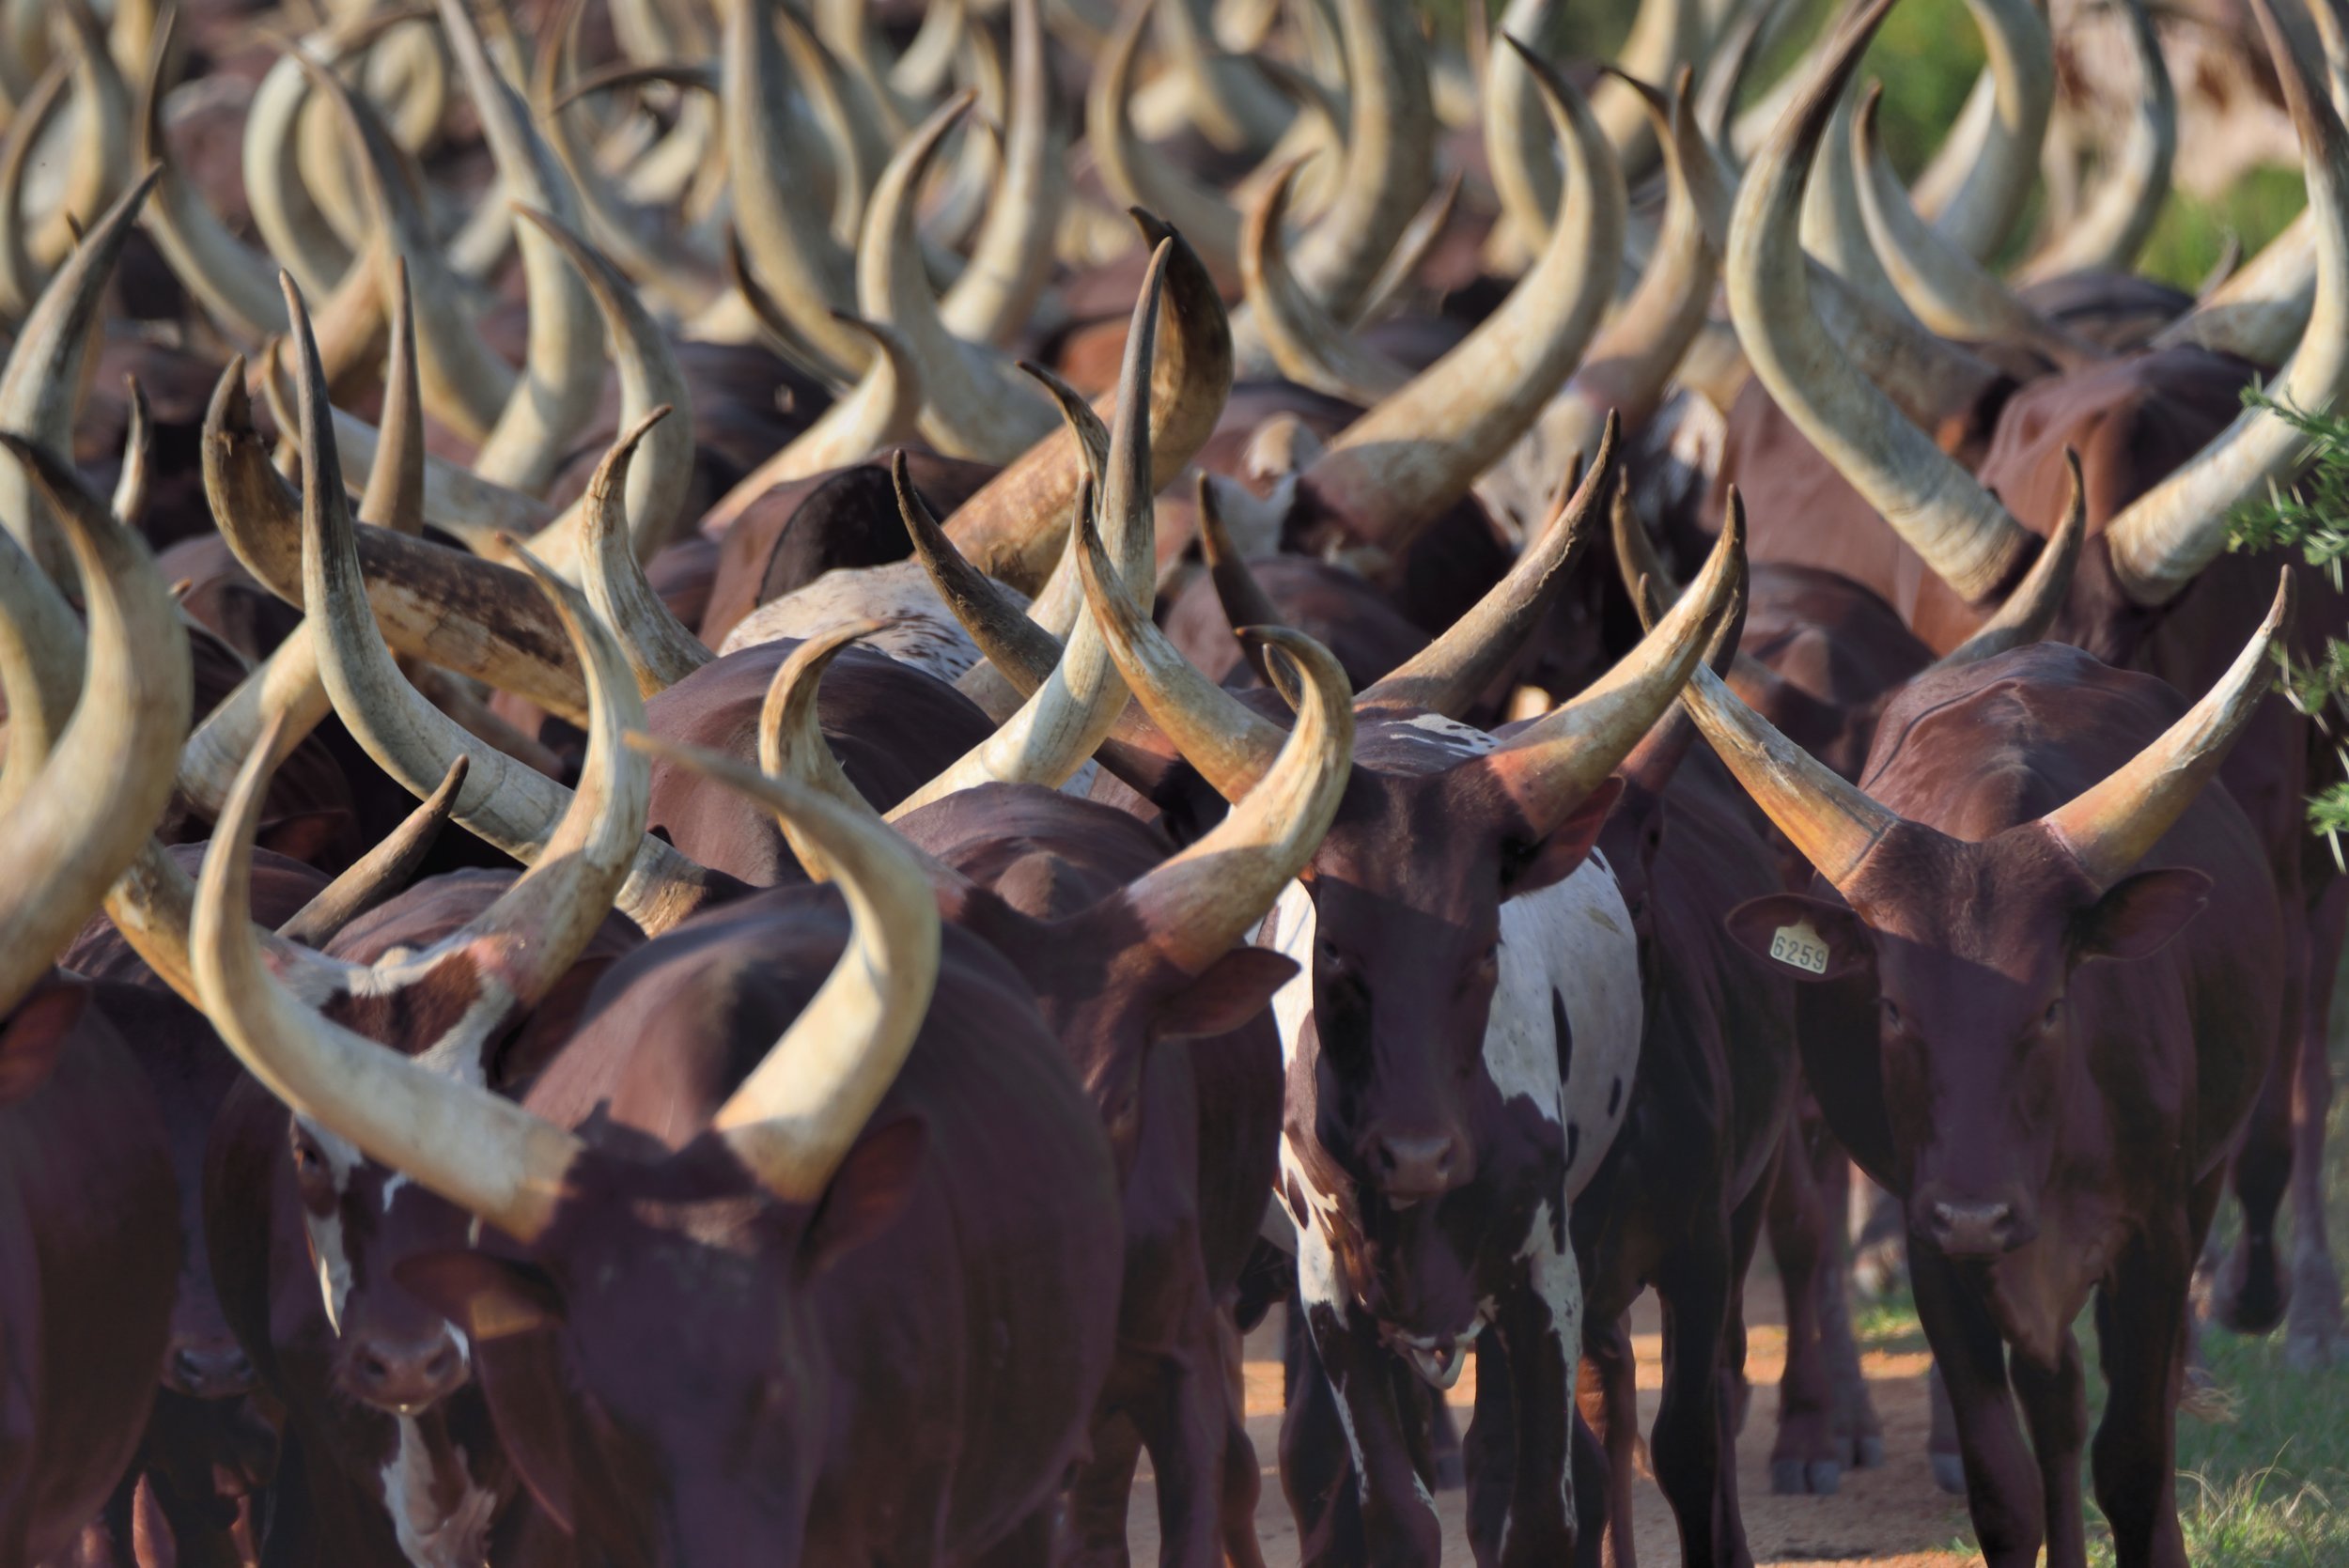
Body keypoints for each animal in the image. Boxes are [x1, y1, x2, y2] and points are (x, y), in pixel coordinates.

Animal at [1681, 545, 2291, 1568]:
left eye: (2050, 1005)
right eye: (1890, 1005)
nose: (1976, 1209)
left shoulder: (2156, 1236)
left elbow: (2136, 1460)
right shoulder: (1937, 1251)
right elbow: (2004, 1484)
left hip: (2197, 1183)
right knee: (2055, 1402)